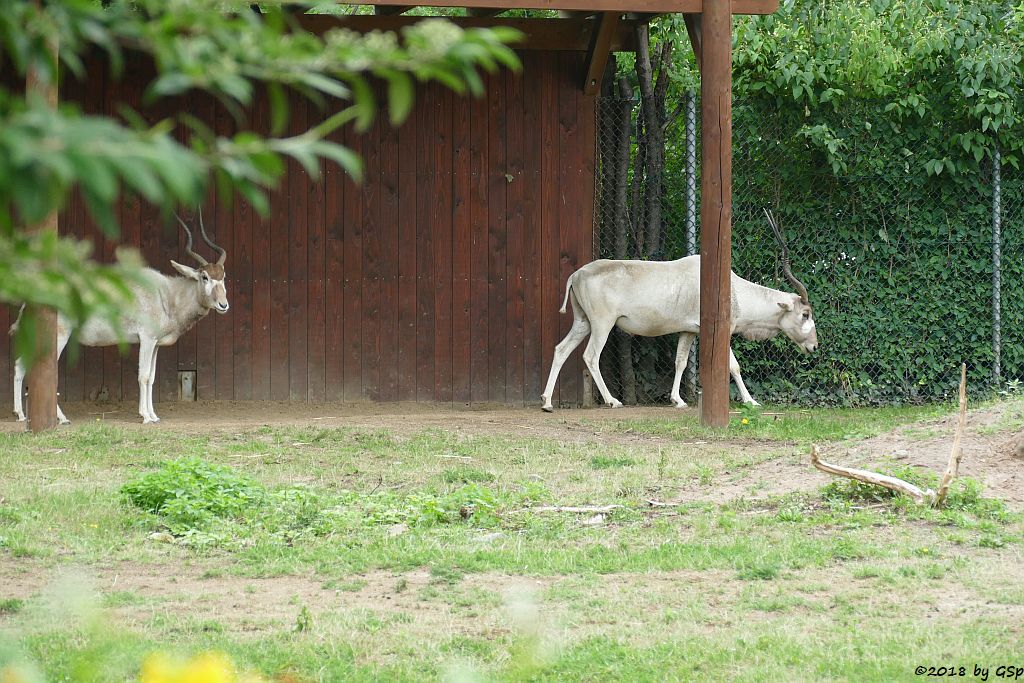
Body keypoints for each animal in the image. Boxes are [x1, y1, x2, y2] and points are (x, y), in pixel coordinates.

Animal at [12, 211, 229, 428]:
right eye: (204, 276)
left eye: (223, 276)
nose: (223, 305)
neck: (166, 295)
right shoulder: (147, 339)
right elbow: (143, 376)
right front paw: (145, 416)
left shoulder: (156, 344)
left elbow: (151, 378)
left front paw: (154, 415)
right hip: (58, 337)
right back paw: (59, 418)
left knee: (21, 365)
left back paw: (22, 415)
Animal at [540, 208, 819, 411]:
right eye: (805, 314)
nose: (814, 346)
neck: (733, 290)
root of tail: (577, 274)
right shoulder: (721, 330)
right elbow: (733, 365)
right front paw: (751, 401)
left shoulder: (689, 331)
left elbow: (681, 362)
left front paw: (678, 400)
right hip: (602, 323)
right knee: (591, 355)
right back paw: (612, 401)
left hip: (583, 322)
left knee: (561, 349)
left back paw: (547, 402)